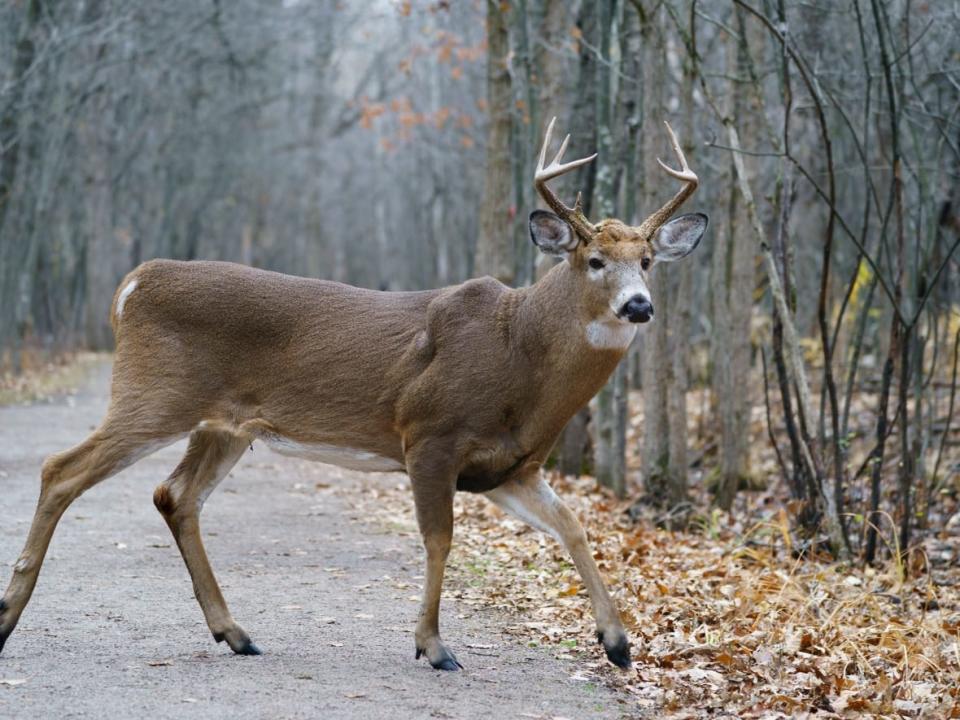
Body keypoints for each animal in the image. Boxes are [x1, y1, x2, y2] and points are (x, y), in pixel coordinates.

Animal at [0, 116, 704, 668]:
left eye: (646, 262)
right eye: (595, 261)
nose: (638, 306)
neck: (519, 354)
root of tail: (132, 285)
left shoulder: (510, 467)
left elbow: (573, 528)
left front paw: (618, 644)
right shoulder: (429, 433)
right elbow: (439, 538)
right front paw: (433, 646)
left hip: (223, 424)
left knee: (175, 496)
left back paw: (235, 633)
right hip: (154, 393)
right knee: (61, 469)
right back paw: (9, 616)